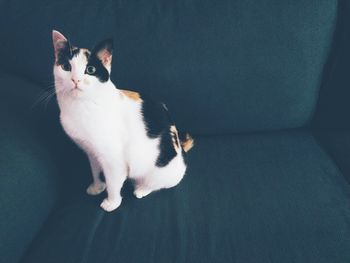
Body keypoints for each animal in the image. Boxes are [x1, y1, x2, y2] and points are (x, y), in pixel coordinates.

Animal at [52, 31, 194, 212]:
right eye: (66, 67)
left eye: (90, 70)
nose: (75, 80)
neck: (82, 106)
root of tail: (181, 148)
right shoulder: (91, 152)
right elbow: (95, 171)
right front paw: (97, 186)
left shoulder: (114, 160)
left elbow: (113, 183)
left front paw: (112, 202)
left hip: (162, 171)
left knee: (156, 183)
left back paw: (141, 189)